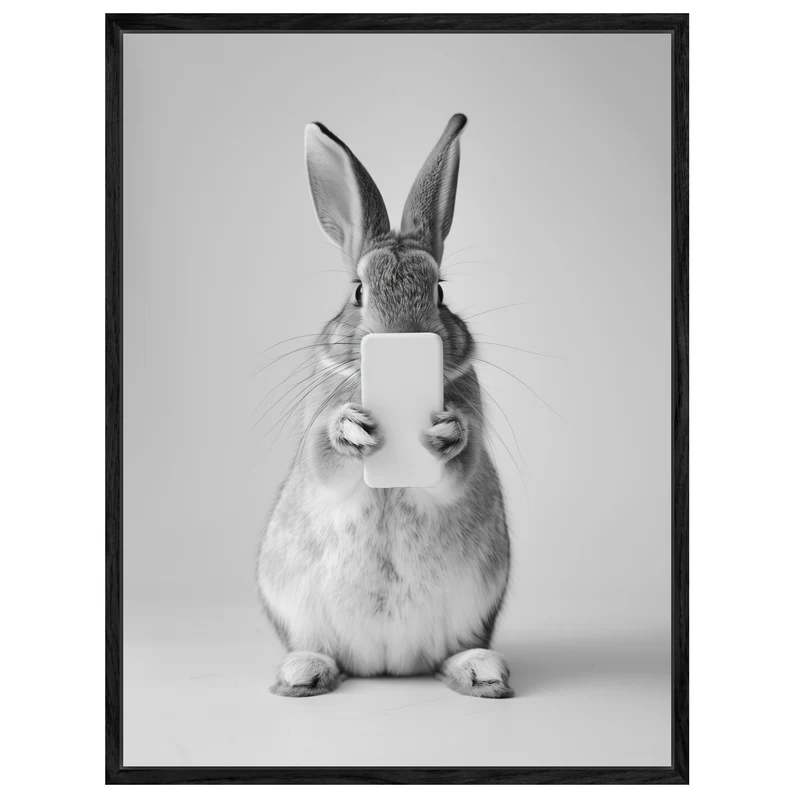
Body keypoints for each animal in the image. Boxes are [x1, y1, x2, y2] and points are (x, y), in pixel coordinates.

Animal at [257, 114, 512, 699]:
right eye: (358, 291)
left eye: (439, 291)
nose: (403, 336)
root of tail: (387, 666)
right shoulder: (316, 440)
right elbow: (324, 460)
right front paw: (351, 429)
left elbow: (459, 467)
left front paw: (447, 432)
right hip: (295, 605)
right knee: (323, 651)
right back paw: (304, 673)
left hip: (475, 606)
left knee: (448, 655)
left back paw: (479, 671)